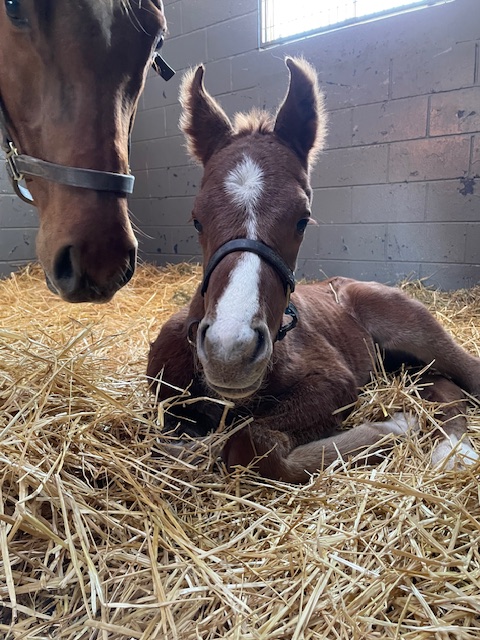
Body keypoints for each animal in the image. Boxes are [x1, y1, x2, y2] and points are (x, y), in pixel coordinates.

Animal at [147, 57, 480, 483]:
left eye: (303, 220)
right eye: (196, 219)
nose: (230, 352)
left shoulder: (334, 380)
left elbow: (249, 443)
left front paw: (396, 425)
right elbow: (174, 448)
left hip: (419, 333)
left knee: (467, 373)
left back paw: (456, 449)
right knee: (440, 382)